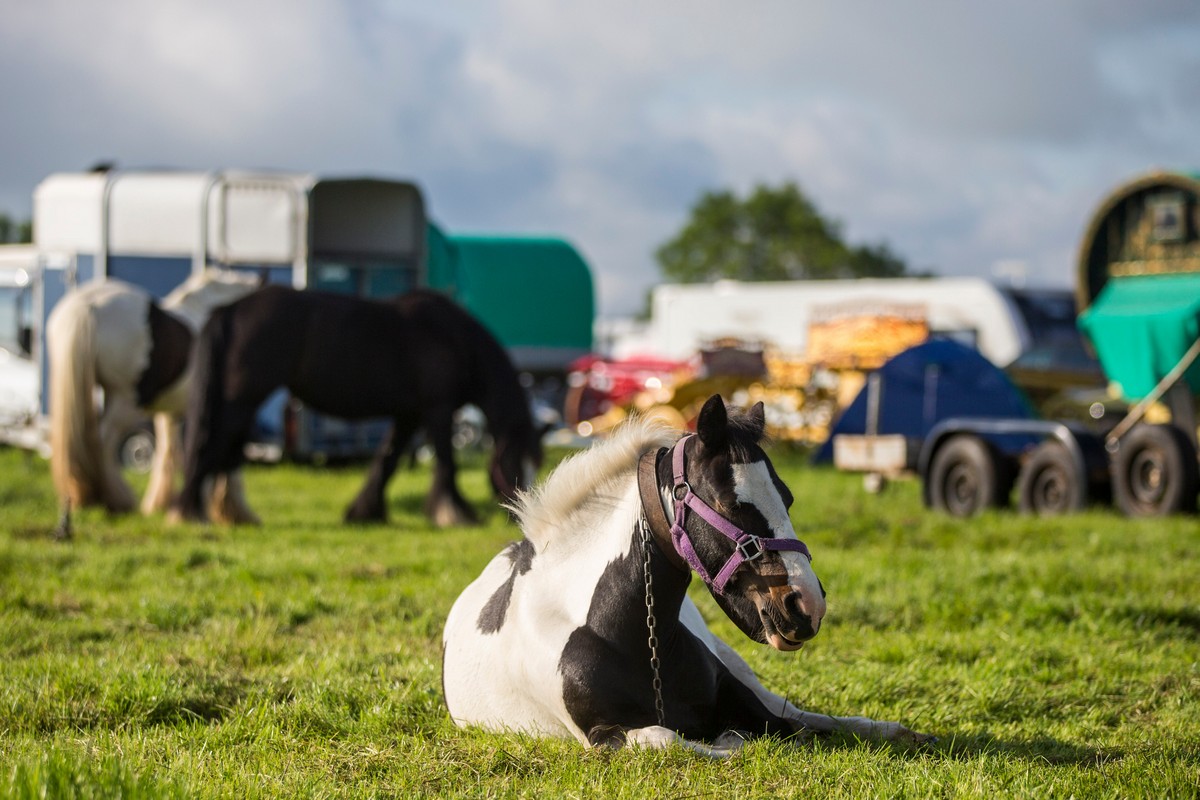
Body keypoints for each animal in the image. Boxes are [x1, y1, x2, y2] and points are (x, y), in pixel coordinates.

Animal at [49, 271, 262, 532]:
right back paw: (117, 498)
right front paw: (230, 512)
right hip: (125, 401)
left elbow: (169, 452)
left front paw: (164, 505)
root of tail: (87, 304)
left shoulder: (170, 413)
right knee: (102, 441)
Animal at [175, 286, 542, 525]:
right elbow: (446, 464)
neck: (455, 338)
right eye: (519, 463)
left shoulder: (408, 416)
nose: (525, 514)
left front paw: (365, 512)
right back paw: (188, 511)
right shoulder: (438, 410)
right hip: (241, 400)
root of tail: (230, 309)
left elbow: (387, 461)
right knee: (207, 446)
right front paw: (456, 513)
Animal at [446, 395, 931, 758]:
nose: (805, 605)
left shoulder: (743, 698)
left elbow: (792, 727)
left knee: (803, 713)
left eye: (788, 497)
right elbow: (675, 739)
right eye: (731, 503)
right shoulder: (603, 735)